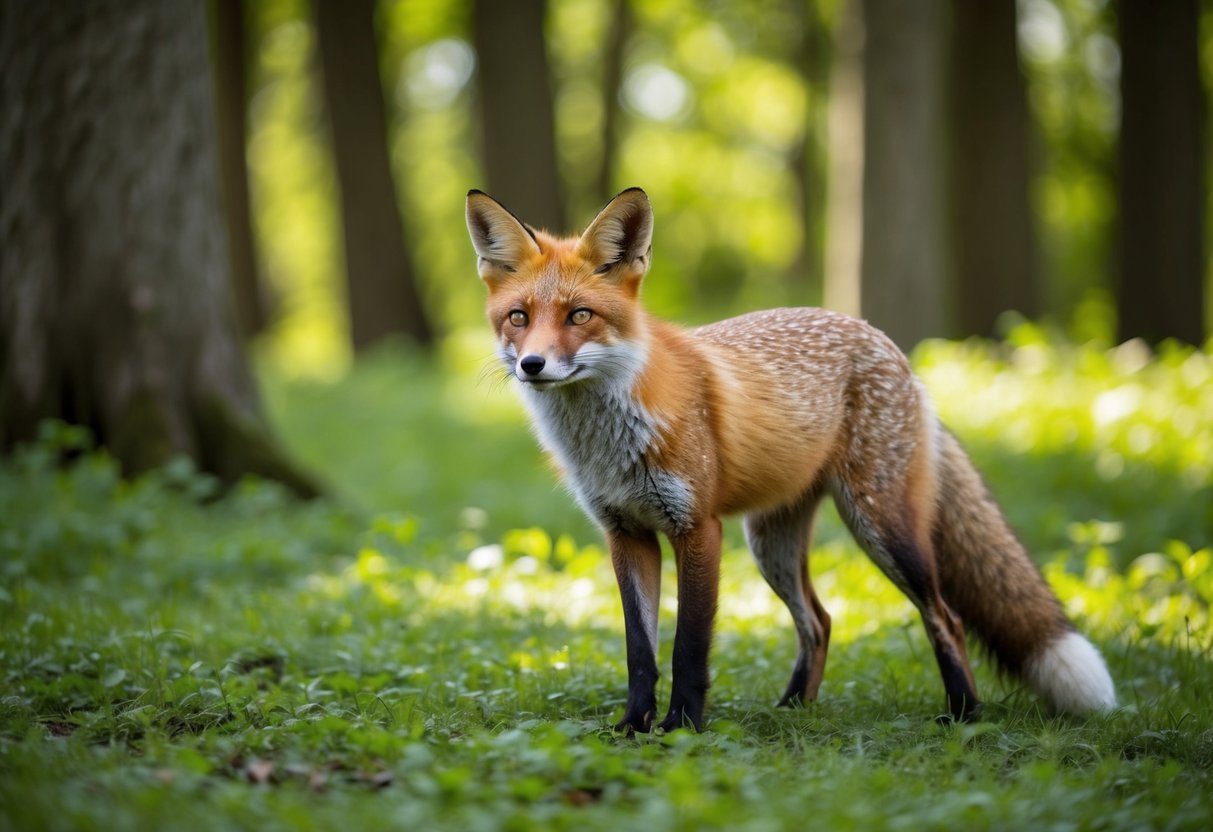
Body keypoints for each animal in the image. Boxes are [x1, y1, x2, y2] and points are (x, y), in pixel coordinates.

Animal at [465, 187, 1117, 733]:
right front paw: (632, 727)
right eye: (519, 317)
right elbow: (640, 651)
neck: (608, 440)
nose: (532, 365)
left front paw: (682, 729)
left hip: (882, 529)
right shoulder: (626, 533)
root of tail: (891, 348)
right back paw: (792, 711)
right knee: (820, 622)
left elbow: (688, 647)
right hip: (770, 543)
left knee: (946, 619)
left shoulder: (697, 528)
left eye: (579, 315)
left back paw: (963, 716)